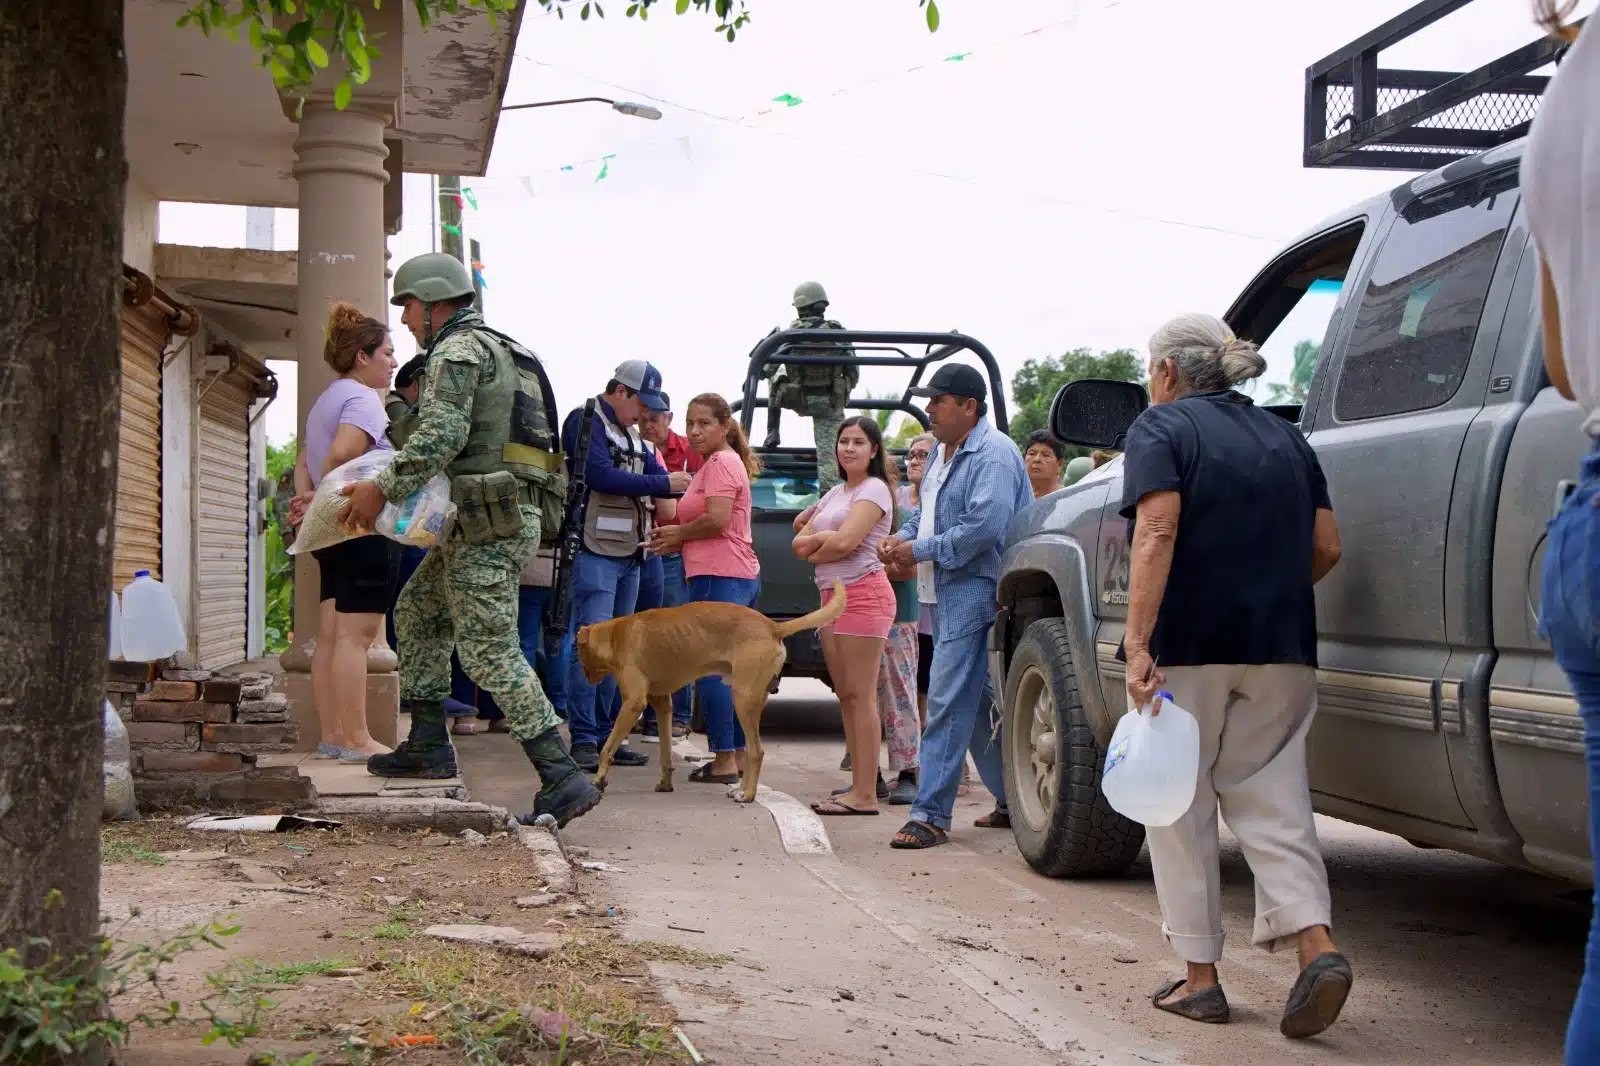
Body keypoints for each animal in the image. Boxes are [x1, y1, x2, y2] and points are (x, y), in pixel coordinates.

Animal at [579, 582, 851, 797]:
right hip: (752, 699)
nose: (586, 678)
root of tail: (772, 627)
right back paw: (742, 788)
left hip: (742, 699)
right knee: (749, 750)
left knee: (757, 751)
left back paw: (748, 795)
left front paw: (599, 779)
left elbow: (607, 748)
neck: (615, 635)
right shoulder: (663, 703)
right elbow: (665, 752)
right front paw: (666, 782)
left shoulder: (634, 703)